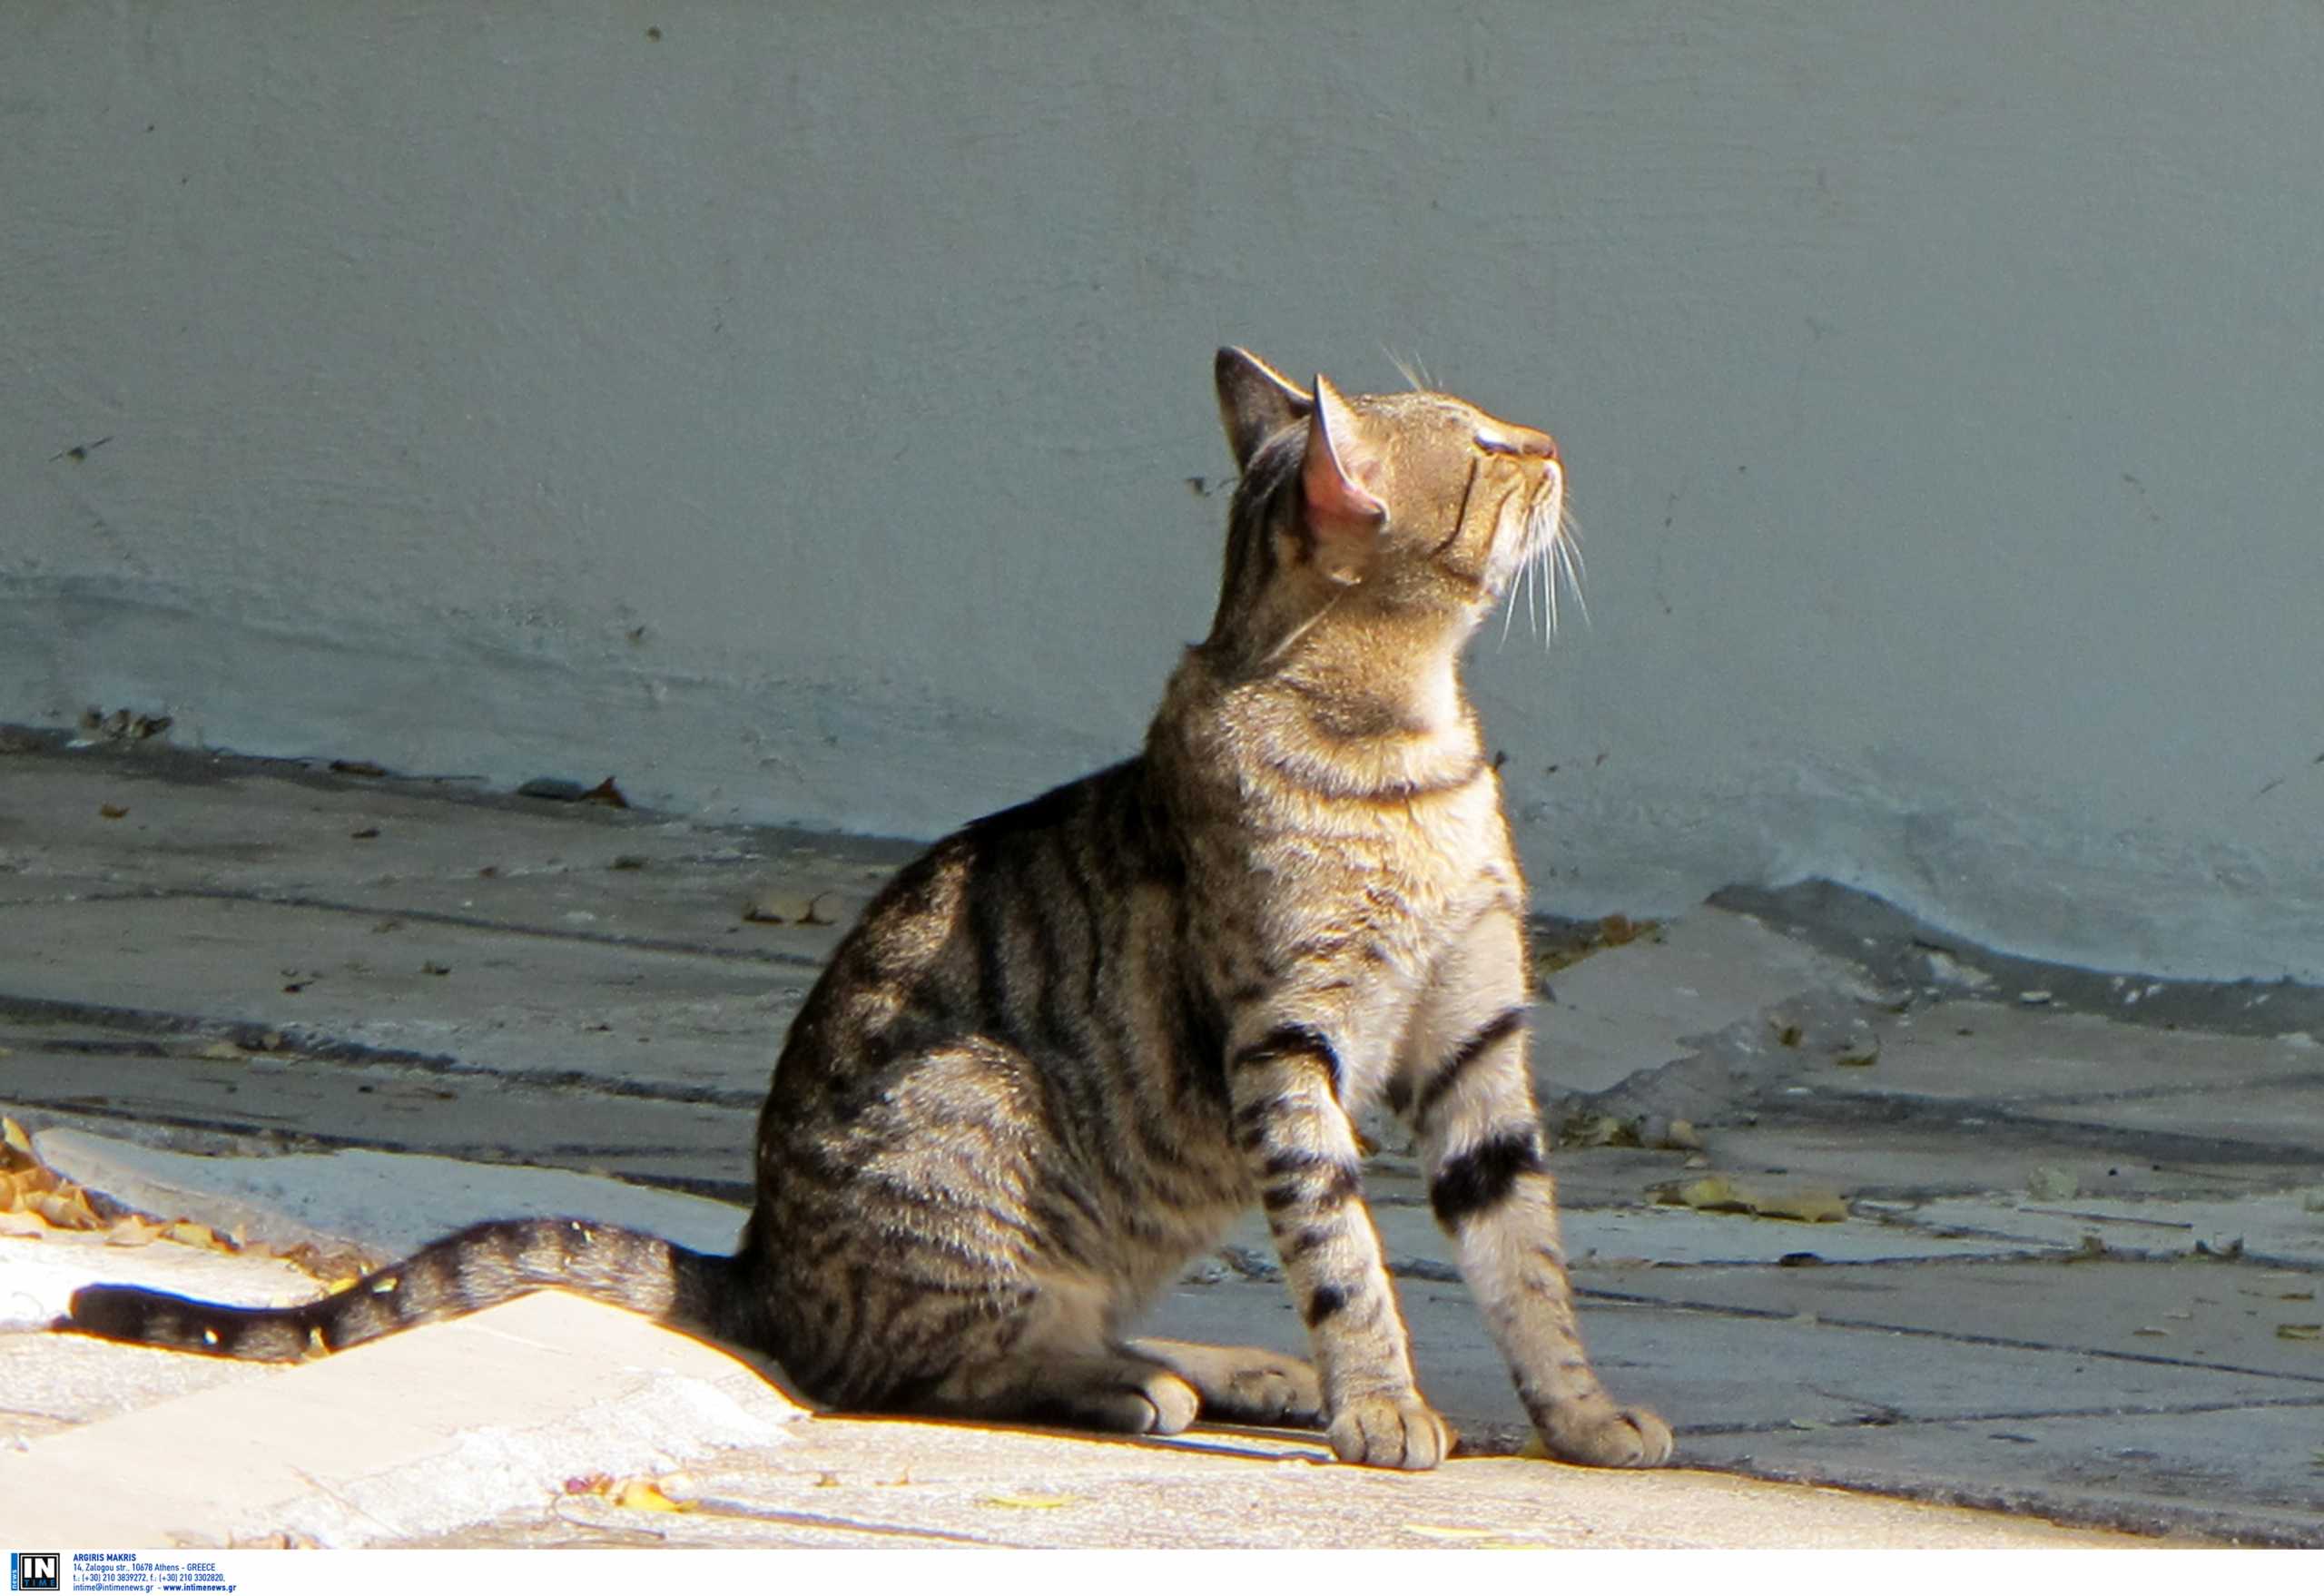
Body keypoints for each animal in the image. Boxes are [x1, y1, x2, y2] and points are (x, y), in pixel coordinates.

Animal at [64, 348, 1673, 1477]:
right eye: (1487, 447)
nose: (1557, 442)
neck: (1411, 746)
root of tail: (756, 1262)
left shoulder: (1475, 1039)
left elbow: (1526, 1259)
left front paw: (1584, 1418)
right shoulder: (1287, 1043)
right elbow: (1345, 1252)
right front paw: (1383, 1404)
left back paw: (1228, 1365)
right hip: (976, 1108)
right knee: (927, 1364)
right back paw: (1141, 1382)